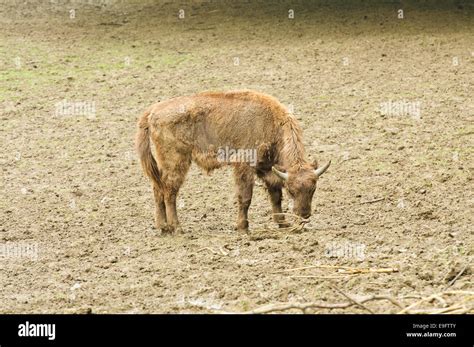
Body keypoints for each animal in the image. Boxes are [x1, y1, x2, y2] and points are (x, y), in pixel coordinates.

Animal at [136, 91, 330, 235]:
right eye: (291, 190)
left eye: (313, 189)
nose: (304, 214)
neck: (272, 122)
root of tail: (153, 110)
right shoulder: (244, 167)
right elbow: (245, 198)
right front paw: (243, 228)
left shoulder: (267, 169)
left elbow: (275, 197)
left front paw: (283, 223)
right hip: (177, 162)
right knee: (169, 192)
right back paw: (177, 228)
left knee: (158, 189)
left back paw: (163, 228)